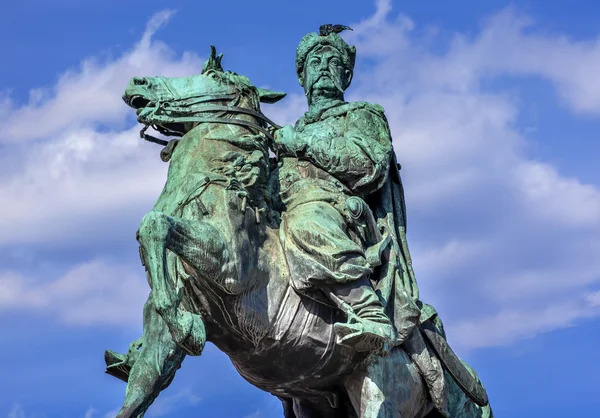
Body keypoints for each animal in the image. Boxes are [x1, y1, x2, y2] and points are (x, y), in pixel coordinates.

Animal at [105, 47, 494, 418]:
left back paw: (374, 328)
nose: (139, 82)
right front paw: (180, 324)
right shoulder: (160, 344)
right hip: (313, 402)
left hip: (381, 390)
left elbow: (155, 225)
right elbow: (140, 389)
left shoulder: (230, 267)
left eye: (214, 76)